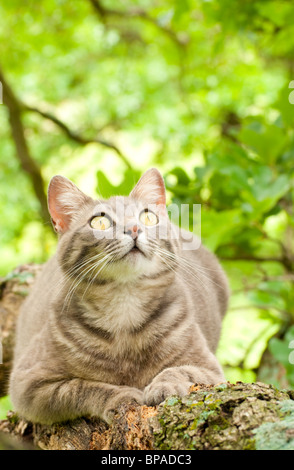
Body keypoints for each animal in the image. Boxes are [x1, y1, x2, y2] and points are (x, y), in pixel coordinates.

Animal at [9, 167, 230, 424]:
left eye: (147, 217)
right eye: (100, 221)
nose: (134, 229)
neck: (125, 302)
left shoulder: (207, 366)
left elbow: (180, 369)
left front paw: (164, 385)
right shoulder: (27, 383)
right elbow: (79, 387)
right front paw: (121, 395)